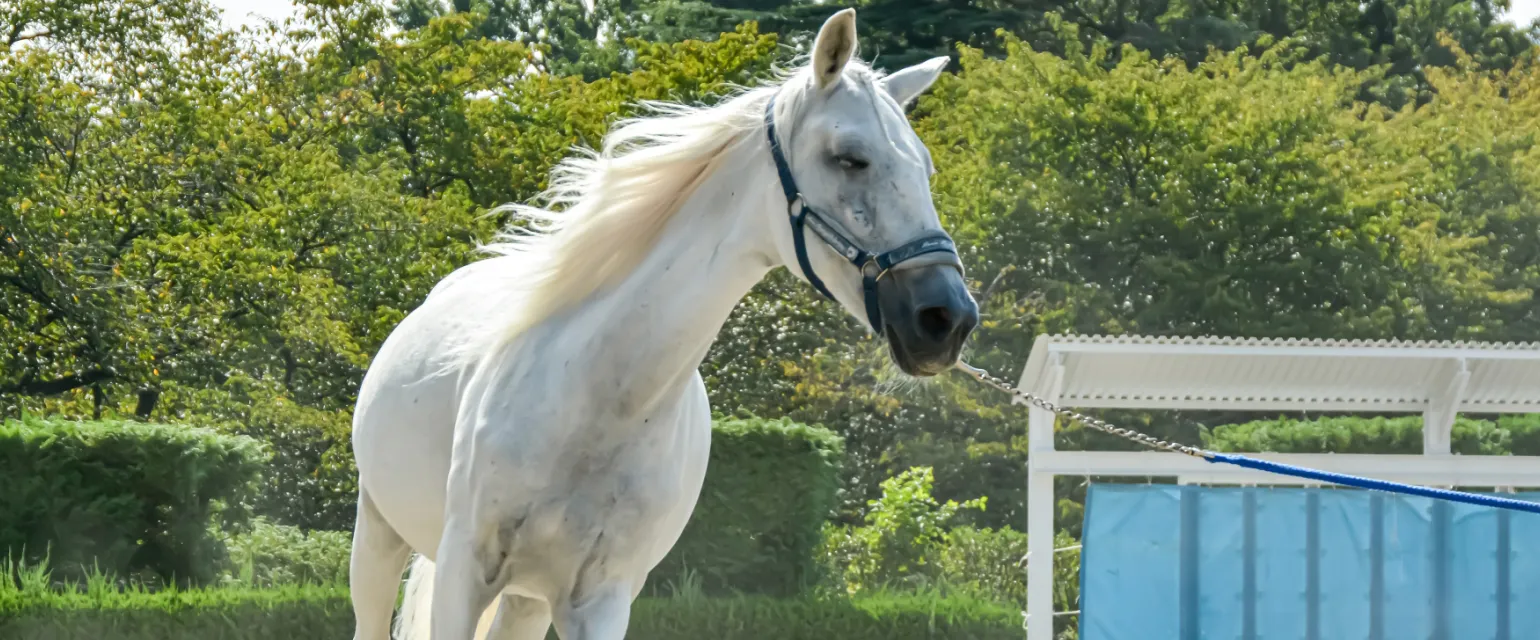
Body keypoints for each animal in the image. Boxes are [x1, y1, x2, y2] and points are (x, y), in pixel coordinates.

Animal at [347, 9, 979, 639]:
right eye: (849, 157)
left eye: (924, 168)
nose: (948, 320)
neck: (598, 398)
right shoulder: (463, 574)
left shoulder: (600, 598)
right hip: (379, 539)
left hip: (526, 601)